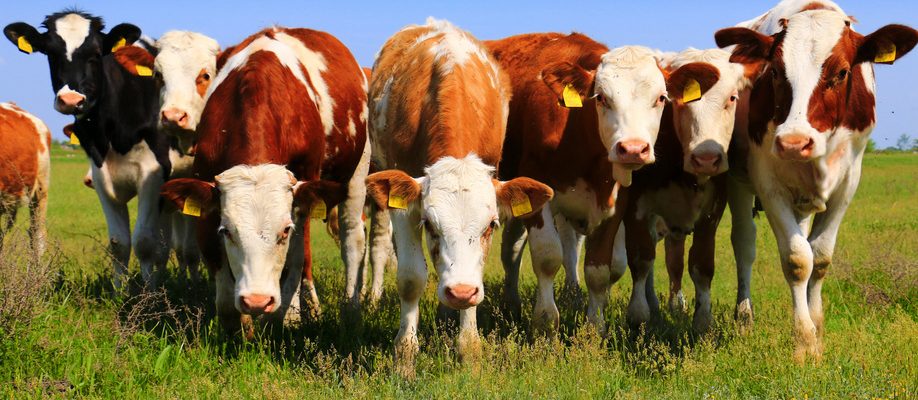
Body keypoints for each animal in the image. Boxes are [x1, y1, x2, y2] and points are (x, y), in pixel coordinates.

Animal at [160, 27, 369, 333]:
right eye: (227, 231)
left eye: (284, 231)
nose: (257, 300)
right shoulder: (207, 191)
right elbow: (222, 284)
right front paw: (238, 328)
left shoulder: (301, 195)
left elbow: (294, 260)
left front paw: (285, 318)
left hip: (357, 174)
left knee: (351, 239)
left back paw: (348, 309)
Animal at [365, 19, 553, 376]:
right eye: (430, 225)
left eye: (491, 226)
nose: (460, 292)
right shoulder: (405, 210)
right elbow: (411, 278)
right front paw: (405, 358)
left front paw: (468, 350)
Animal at [484, 33, 720, 333]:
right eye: (601, 97)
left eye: (661, 98)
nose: (633, 149)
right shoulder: (539, 193)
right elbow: (548, 257)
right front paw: (545, 322)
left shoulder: (615, 203)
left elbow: (598, 269)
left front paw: (594, 327)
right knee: (513, 250)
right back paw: (512, 301)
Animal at [618, 48, 754, 333]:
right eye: (676, 101)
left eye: (732, 97)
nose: (706, 158)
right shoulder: (637, 208)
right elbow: (641, 258)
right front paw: (639, 315)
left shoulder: (712, 211)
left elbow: (700, 264)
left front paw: (702, 320)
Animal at [714, 0, 917, 360]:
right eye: (775, 72)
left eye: (842, 72)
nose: (795, 142)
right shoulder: (768, 182)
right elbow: (796, 259)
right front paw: (804, 341)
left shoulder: (848, 182)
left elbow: (819, 257)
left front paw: (818, 327)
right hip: (737, 182)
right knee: (744, 243)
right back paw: (744, 316)